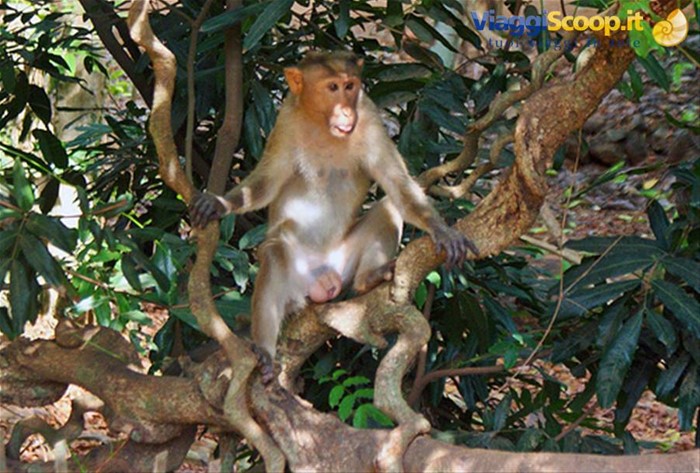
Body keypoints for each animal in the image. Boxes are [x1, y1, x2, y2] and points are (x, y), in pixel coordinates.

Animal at [190, 50, 477, 368]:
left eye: (350, 86)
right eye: (332, 88)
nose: (347, 112)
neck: (322, 125)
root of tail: (322, 279)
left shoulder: (370, 119)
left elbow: (397, 185)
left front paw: (442, 231)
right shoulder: (285, 120)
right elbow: (267, 183)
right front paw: (220, 203)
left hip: (343, 264)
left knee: (389, 208)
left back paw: (368, 279)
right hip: (295, 278)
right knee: (275, 254)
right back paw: (264, 350)